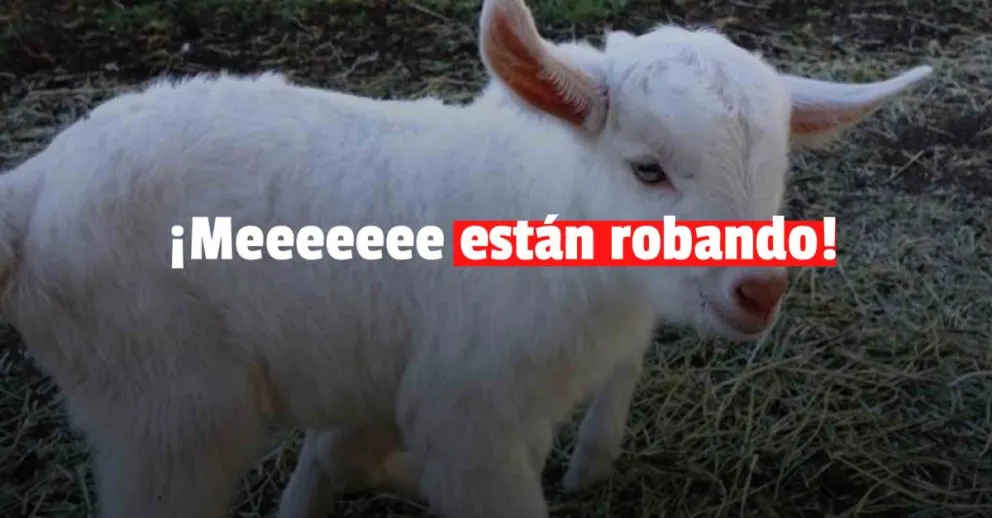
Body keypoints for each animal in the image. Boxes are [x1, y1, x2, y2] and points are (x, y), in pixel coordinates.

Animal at [0, 0, 931, 516]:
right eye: (647, 169)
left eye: (776, 170)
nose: (759, 292)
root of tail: (34, 190)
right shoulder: (473, 416)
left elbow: (339, 452)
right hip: (164, 404)